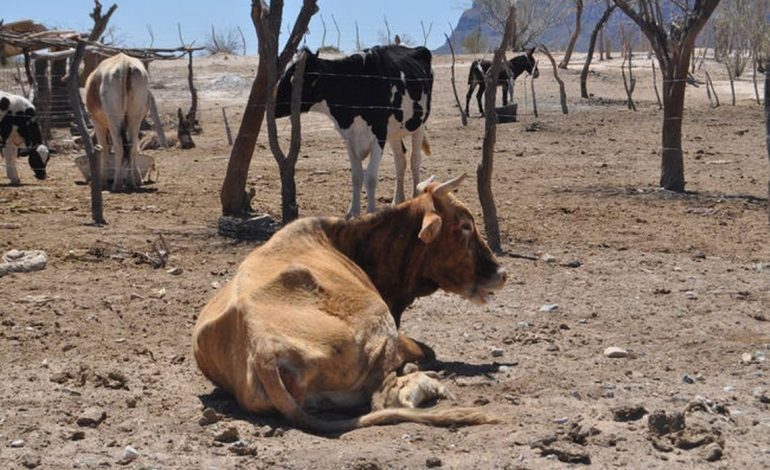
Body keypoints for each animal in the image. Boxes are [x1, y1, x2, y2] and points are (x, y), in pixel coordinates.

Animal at [85, 54, 150, 193]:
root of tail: (124, 63)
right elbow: (134, 148)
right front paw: (138, 179)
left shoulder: (97, 123)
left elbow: (104, 149)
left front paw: (102, 181)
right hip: (135, 118)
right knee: (131, 146)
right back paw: (130, 182)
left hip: (114, 120)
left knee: (120, 147)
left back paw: (117, 184)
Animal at [191, 173, 504, 434]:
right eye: (465, 225)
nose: (501, 273)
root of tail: (263, 350)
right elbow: (427, 350)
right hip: (378, 321)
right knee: (386, 397)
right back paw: (425, 381)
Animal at [276, 45, 432, 218]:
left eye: (293, 80)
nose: (274, 105)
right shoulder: (349, 138)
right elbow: (356, 176)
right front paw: (353, 212)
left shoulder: (379, 135)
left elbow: (370, 177)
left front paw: (370, 212)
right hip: (395, 131)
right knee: (400, 160)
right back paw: (397, 201)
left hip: (419, 125)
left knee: (414, 160)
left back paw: (415, 197)